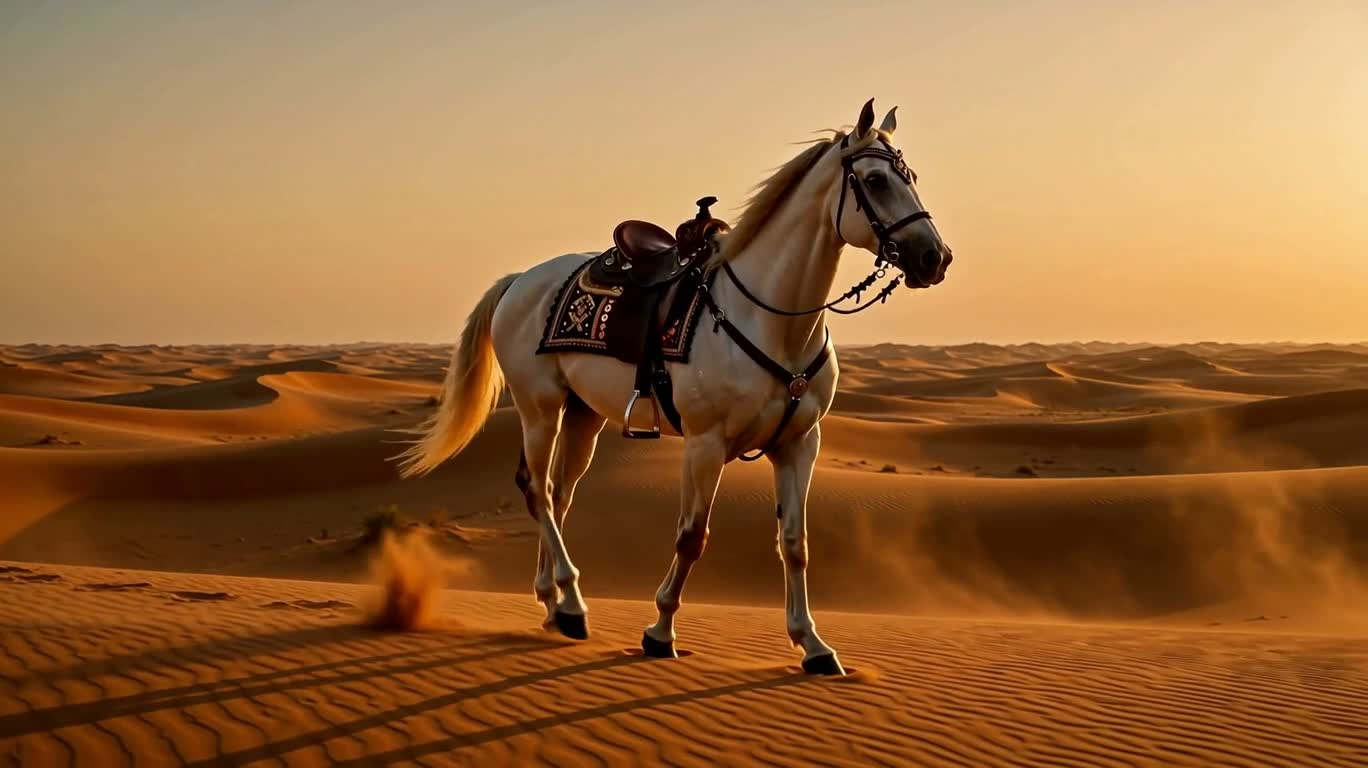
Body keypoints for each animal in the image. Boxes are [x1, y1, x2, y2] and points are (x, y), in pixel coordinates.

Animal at [396, 99, 952, 675]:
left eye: (911, 177)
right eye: (875, 180)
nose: (934, 257)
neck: (770, 320)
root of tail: (519, 280)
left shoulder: (800, 445)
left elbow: (794, 543)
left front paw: (813, 644)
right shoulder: (705, 444)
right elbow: (691, 537)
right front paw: (660, 631)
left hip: (582, 416)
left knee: (559, 493)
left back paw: (552, 602)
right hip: (539, 408)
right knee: (537, 491)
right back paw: (570, 603)